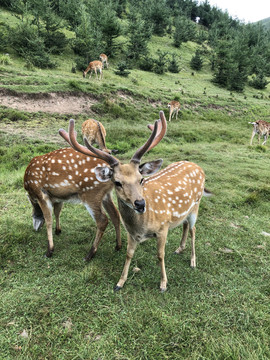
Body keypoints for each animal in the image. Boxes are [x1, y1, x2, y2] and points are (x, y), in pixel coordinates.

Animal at [59, 111, 211, 292]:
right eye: (117, 182)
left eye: (141, 179)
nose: (140, 204)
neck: (143, 225)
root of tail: (198, 167)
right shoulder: (131, 233)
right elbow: (128, 254)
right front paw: (120, 282)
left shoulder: (163, 227)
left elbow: (160, 255)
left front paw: (163, 284)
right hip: (185, 211)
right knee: (185, 224)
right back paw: (180, 249)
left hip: (196, 205)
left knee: (194, 229)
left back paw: (193, 261)